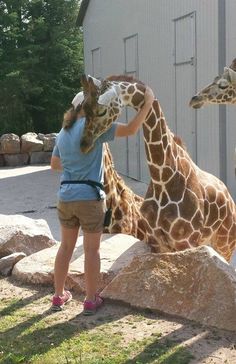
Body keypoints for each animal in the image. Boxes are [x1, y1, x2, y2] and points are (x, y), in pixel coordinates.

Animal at [80, 74, 235, 262]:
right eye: (83, 108)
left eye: (101, 111)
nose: (84, 145)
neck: (162, 178)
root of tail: (229, 197)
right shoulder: (155, 242)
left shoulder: (185, 241)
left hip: (225, 244)